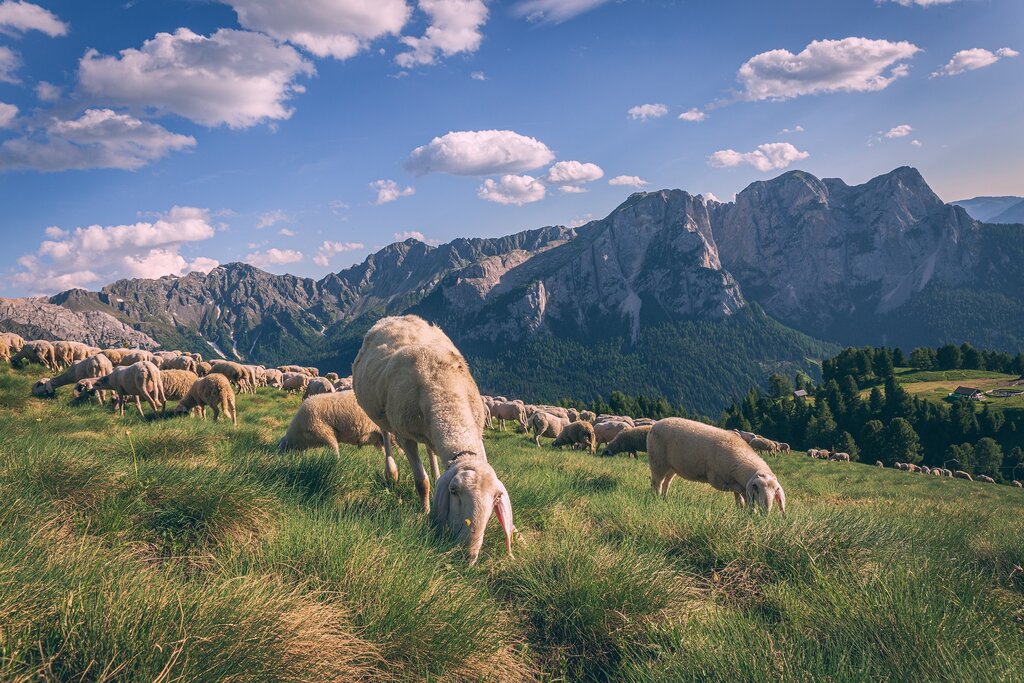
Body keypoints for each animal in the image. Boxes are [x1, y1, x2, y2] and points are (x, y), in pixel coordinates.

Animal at [352, 314, 514, 565]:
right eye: (454, 491)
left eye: (496, 499)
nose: (468, 556)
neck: (446, 394)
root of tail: (395, 317)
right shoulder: (405, 437)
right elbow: (422, 482)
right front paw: (426, 512)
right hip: (382, 415)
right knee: (386, 435)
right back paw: (391, 472)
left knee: (430, 449)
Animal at [648, 417, 786, 513]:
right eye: (756, 488)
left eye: (776, 491)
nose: (766, 511)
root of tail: (656, 424)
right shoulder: (718, 480)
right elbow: (740, 491)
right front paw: (749, 510)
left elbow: (738, 497)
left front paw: (741, 510)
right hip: (657, 460)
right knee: (657, 482)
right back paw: (657, 498)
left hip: (671, 466)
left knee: (667, 481)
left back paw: (665, 498)